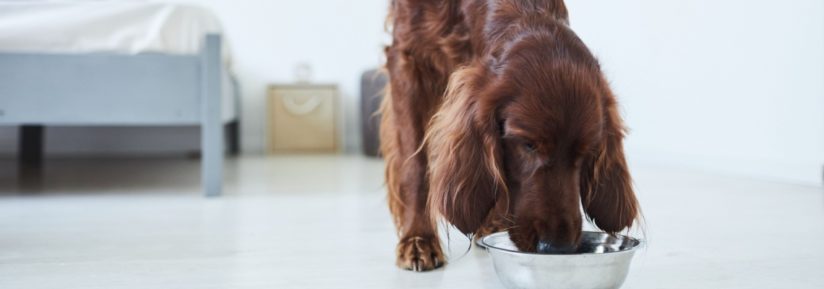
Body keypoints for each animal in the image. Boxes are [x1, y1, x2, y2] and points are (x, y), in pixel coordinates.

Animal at [382, 0, 644, 270]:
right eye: (528, 145)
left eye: (586, 150)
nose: (557, 248)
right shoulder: (407, 57)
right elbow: (414, 165)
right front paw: (418, 238)